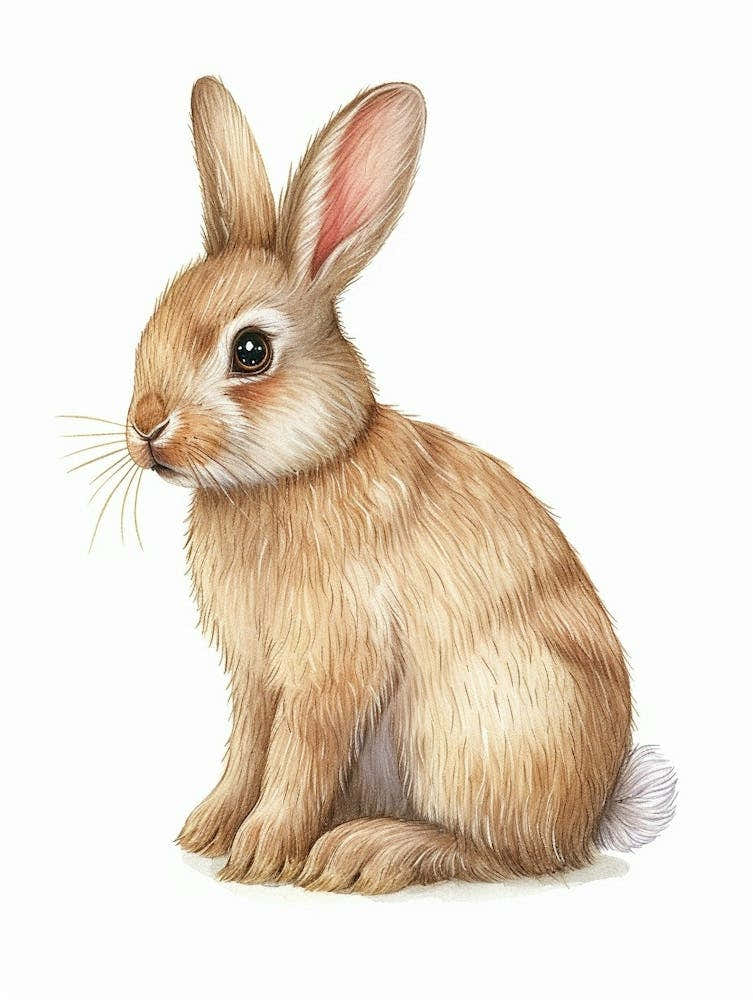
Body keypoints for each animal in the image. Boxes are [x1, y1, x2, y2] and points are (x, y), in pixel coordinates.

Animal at [123, 76, 676, 893]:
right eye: (152, 321)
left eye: (250, 351)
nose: (145, 426)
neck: (295, 471)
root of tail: (592, 811)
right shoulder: (254, 675)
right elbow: (249, 748)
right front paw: (208, 830)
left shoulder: (332, 664)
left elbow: (298, 755)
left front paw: (259, 853)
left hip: (469, 726)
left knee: (503, 854)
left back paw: (366, 851)